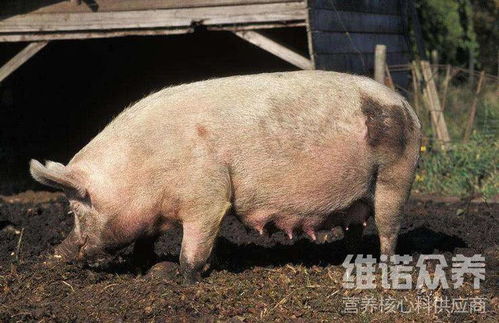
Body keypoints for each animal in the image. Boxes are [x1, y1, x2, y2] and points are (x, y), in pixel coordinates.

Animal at [30, 70, 422, 284]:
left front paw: (185, 281)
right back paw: (347, 260)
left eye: (76, 210)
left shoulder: (208, 197)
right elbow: (165, 241)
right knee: (355, 227)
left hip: (396, 175)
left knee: (388, 227)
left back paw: (385, 270)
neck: (143, 171)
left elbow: (192, 248)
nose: (55, 254)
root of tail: (409, 108)